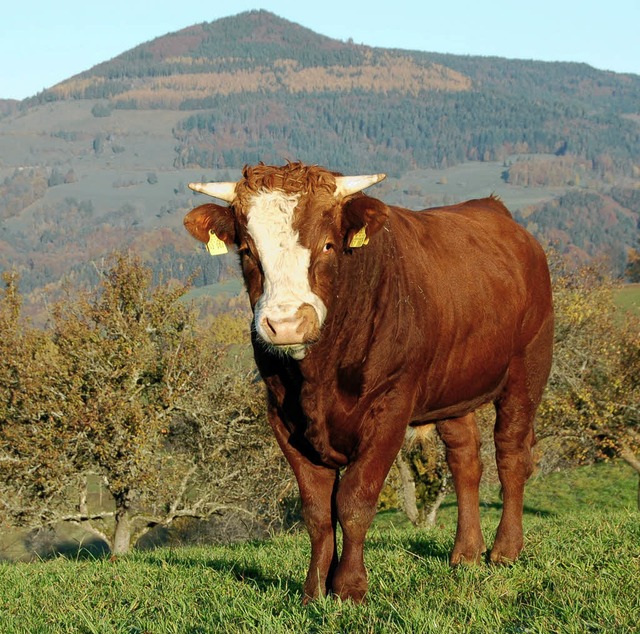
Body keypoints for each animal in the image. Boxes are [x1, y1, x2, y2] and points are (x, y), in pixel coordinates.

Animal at [182, 160, 552, 600]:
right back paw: (465, 553)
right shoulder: (283, 417)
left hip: (528, 367)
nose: (286, 324)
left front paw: (348, 588)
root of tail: (494, 211)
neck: (317, 379)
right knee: (465, 461)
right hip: (453, 388)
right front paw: (313, 589)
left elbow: (355, 500)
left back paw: (505, 550)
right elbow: (317, 510)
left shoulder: (390, 406)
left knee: (511, 454)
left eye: (328, 245)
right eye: (247, 251)